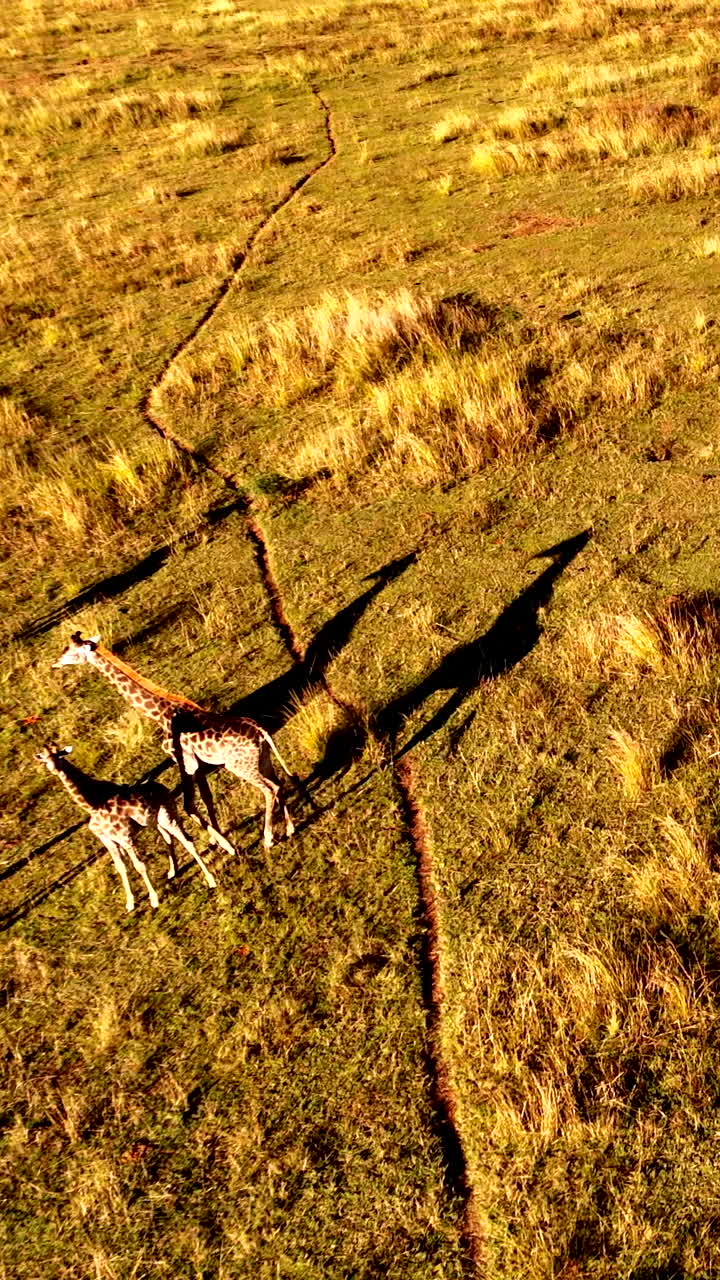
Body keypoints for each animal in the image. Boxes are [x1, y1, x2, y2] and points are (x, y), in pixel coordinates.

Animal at [35, 743, 217, 912]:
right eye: (44, 759)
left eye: (59, 755)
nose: (54, 769)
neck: (93, 805)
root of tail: (162, 787)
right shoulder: (108, 841)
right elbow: (121, 868)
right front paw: (130, 904)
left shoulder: (125, 837)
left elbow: (139, 866)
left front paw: (154, 900)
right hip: (155, 822)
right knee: (168, 838)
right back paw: (173, 871)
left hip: (167, 816)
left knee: (187, 840)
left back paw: (211, 880)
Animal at [52, 632, 296, 853]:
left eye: (71, 651)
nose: (55, 663)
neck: (160, 713)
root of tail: (261, 732)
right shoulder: (196, 762)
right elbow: (206, 799)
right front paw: (216, 840)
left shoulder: (182, 759)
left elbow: (189, 804)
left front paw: (226, 845)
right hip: (262, 759)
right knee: (278, 783)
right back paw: (290, 828)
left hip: (239, 766)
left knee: (269, 789)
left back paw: (268, 839)